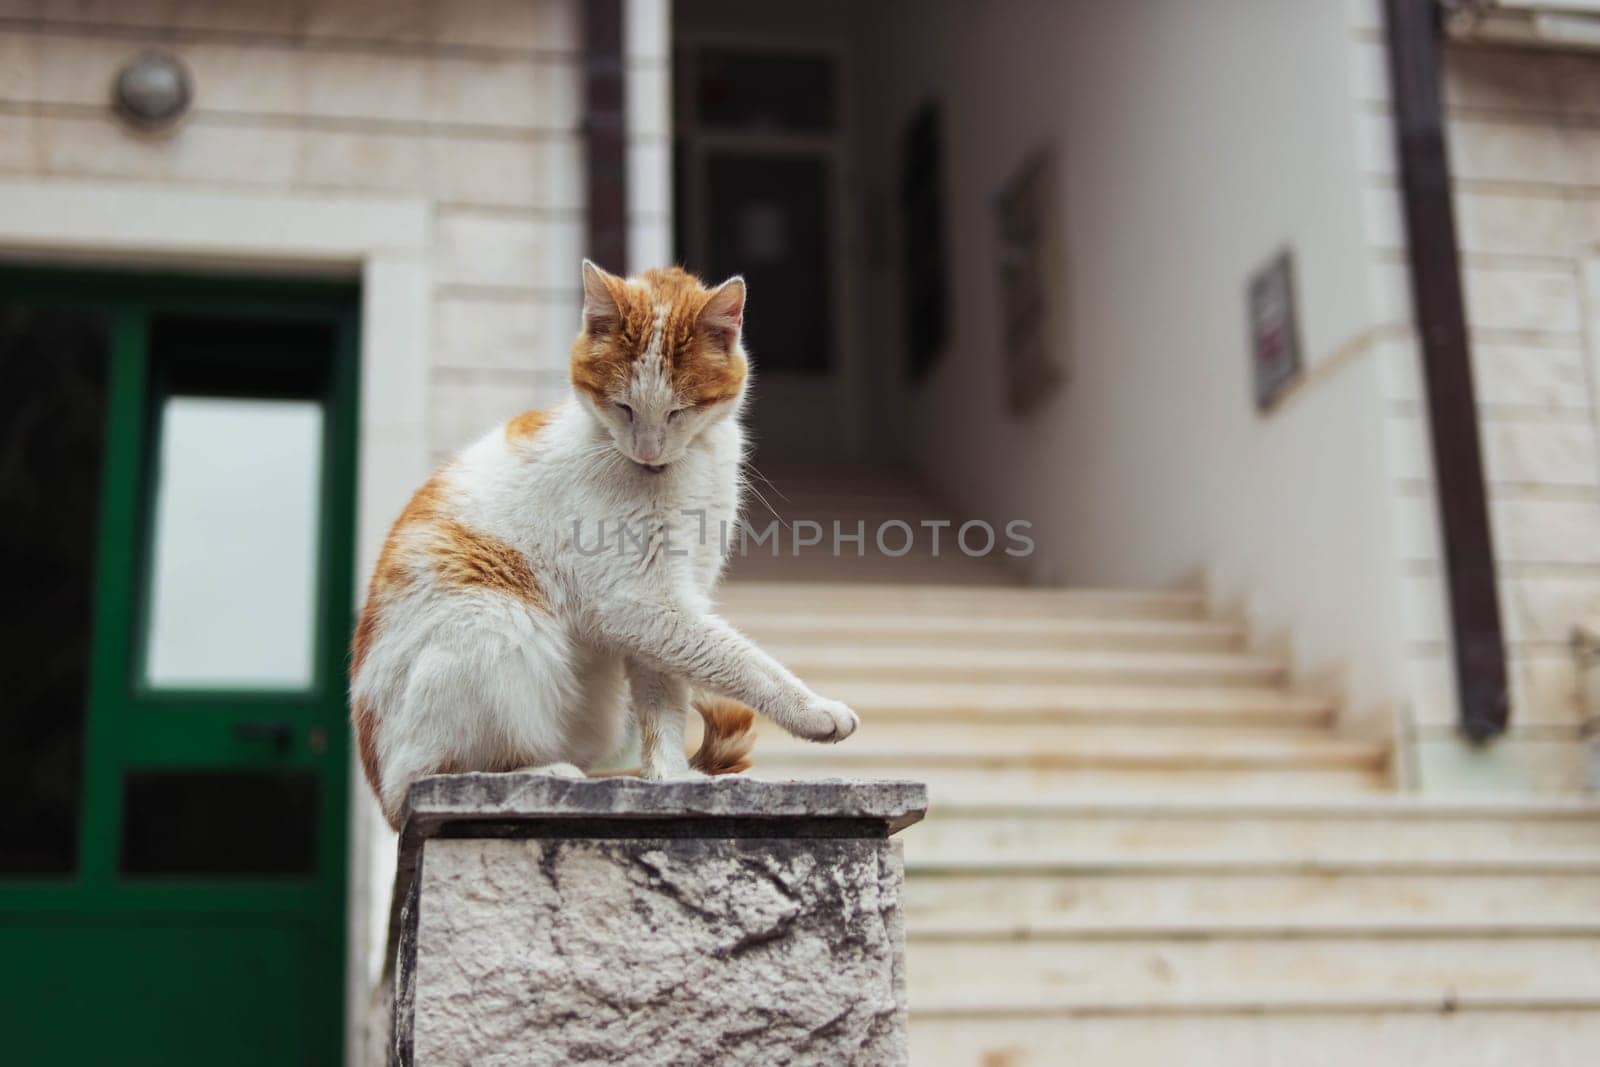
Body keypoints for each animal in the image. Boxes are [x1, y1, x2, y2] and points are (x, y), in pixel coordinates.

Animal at [345, 262, 857, 831]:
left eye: (678, 411)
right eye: (623, 407)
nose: (649, 452)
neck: (685, 466)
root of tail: (382, 793)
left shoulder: (670, 601)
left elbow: (665, 703)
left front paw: (672, 779)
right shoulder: (638, 601)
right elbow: (738, 658)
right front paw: (813, 710)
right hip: (495, 621)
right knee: (436, 772)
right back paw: (546, 774)